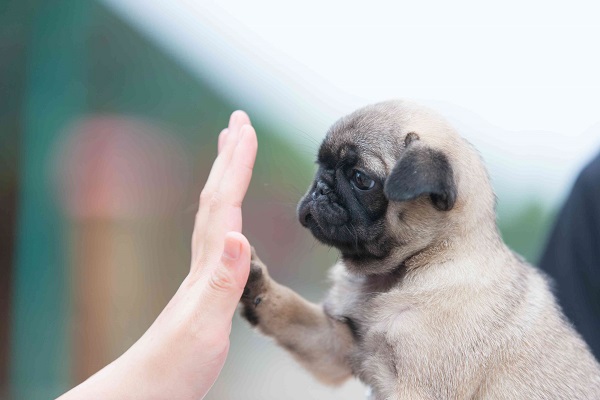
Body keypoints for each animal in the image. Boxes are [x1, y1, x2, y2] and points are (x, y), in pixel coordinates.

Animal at [239, 101, 600, 398]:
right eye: (321, 165)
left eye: (361, 179)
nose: (321, 188)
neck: (409, 268)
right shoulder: (337, 345)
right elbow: (292, 313)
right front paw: (255, 283)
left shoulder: (417, 388)